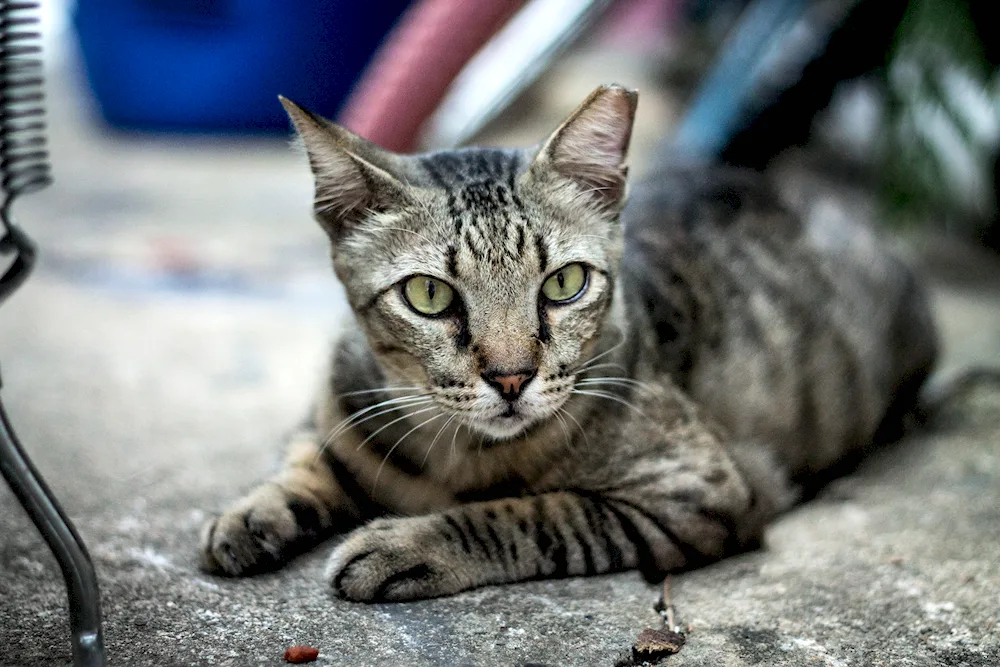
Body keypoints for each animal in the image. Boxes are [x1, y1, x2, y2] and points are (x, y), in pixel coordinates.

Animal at [197, 86, 936, 604]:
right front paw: (254, 511)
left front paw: (412, 541)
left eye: (565, 283)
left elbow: (531, 513)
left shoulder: (698, 490)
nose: (511, 377)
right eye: (429, 295)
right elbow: (306, 456)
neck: (451, 454)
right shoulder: (330, 403)